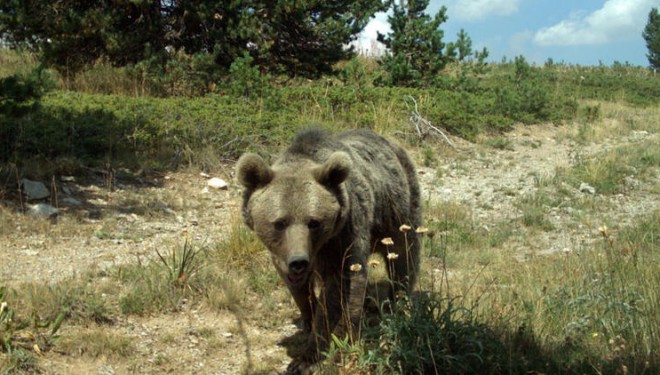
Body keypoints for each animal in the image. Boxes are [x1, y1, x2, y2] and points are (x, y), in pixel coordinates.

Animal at [237, 129, 422, 374]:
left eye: (313, 222)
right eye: (280, 222)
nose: (298, 261)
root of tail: (391, 142)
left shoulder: (343, 236)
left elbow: (341, 289)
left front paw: (307, 357)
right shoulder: (283, 254)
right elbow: (298, 288)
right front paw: (308, 317)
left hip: (398, 208)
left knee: (404, 257)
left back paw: (398, 305)